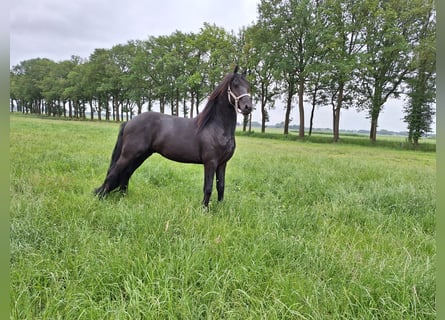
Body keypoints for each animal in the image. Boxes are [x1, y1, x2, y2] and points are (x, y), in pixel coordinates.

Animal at [94, 67, 251, 208]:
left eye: (248, 85)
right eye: (235, 84)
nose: (248, 107)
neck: (217, 127)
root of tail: (129, 122)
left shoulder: (222, 163)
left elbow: (221, 186)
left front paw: (220, 208)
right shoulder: (210, 162)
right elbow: (208, 187)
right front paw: (204, 210)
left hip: (141, 155)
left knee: (126, 173)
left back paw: (123, 197)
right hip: (129, 154)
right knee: (114, 172)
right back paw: (100, 197)